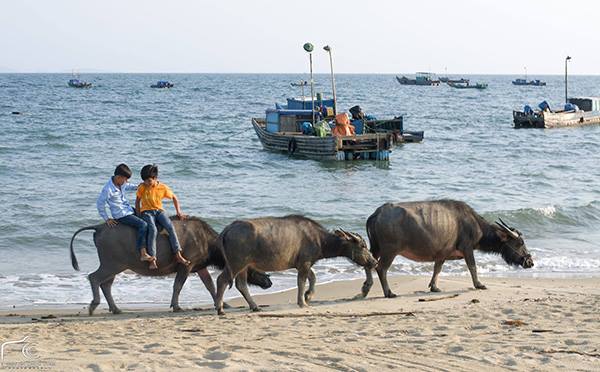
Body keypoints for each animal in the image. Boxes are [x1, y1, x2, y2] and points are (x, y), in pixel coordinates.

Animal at [68, 217, 272, 316]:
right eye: (254, 268)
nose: (269, 282)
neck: (210, 244)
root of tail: (98, 228)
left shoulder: (199, 267)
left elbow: (210, 286)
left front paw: (224, 304)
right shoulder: (186, 265)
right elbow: (178, 286)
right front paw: (176, 306)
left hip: (114, 265)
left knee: (106, 284)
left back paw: (116, 308)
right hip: (112, 264)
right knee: (94, 277)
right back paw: (94, 306)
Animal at [213, 215, 378, 314]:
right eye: (362, 246)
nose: (374, 262)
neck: (319, 239)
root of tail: (226, 230)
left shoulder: (303, 264)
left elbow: (313, 278)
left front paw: (308, 296)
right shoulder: (304, 263)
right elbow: (302, 282)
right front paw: (303, 301)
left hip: (244, 266)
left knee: (241, 285)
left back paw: (255, 306)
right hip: (237, 263)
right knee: (221, 280)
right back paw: (220, 309)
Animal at [360, 199, 536, 298]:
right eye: (520, 243)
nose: (530, 262)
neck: (474, 224)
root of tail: (376, 214)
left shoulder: (442, 254)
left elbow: (437, 268)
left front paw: (434, 287)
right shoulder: (467, 248)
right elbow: (472, 266)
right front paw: (479, 284)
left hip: (375, 248)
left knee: (368, 263)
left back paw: (366, 288)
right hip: (390, 250)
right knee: (381, 268)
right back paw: (388, 292)